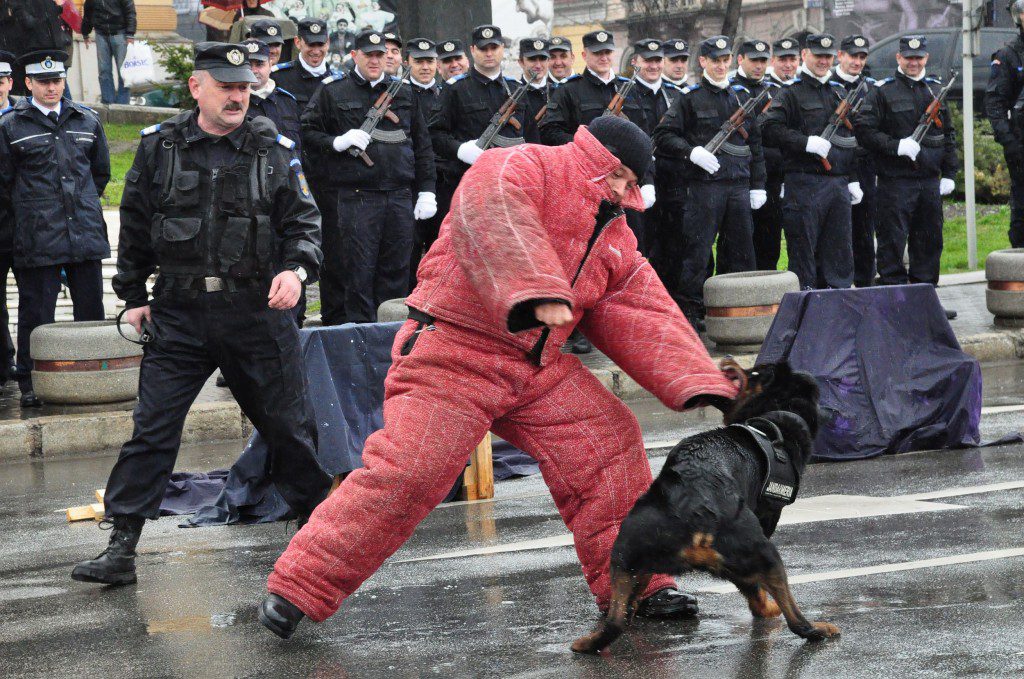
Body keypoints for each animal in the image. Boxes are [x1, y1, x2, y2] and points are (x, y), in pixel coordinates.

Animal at [573, 360, 835, 655]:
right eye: (758, 371)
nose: (729, 361)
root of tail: (692, 506)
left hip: (625, 554)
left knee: (617, 618)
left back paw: (590, 641)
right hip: (764, 554)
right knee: (793, 618)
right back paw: (816, 627)